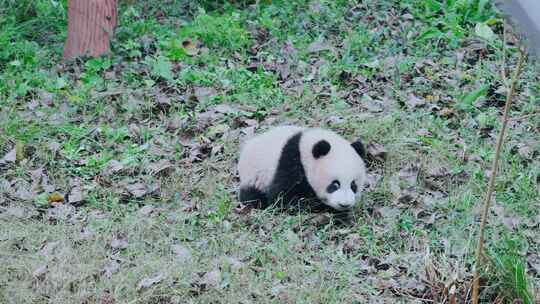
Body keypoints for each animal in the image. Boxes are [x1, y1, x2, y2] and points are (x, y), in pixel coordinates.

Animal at [237, 124, 368, 213]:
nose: (345, 204)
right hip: (254, 176)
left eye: (353, 185)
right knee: (252, 196)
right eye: (335, 184)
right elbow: (283, 198)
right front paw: (315, 205)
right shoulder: (290, 162)